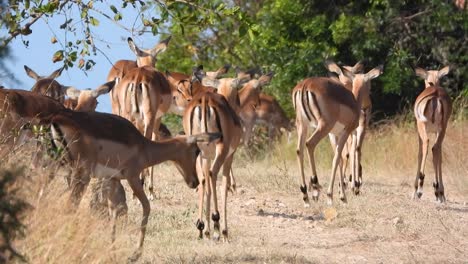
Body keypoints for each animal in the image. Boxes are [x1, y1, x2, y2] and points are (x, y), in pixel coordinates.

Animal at [294, 65, 382, 205]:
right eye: (370, 85)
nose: (368, 106)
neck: (354, 103)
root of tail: (305, 85)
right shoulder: (345, 132)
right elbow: (337, 158)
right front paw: (334, 196)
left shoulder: (334, 134)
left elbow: (340, 158)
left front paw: (342, 195)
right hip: (323, 126)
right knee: (310, 144)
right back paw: (315, 189)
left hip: (302, 125)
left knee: (299, 150)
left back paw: (305, 194)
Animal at [414, 66, 454, 202]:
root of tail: (435, 95)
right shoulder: (438, 131)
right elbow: (439, 156)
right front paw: (440, 193)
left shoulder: (419, 130)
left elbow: (420, 154)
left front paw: (414, 191)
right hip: (442, 129)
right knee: (435, 149)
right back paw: (438, 191)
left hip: (423, 126)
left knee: (427, 145)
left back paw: (420, 190)